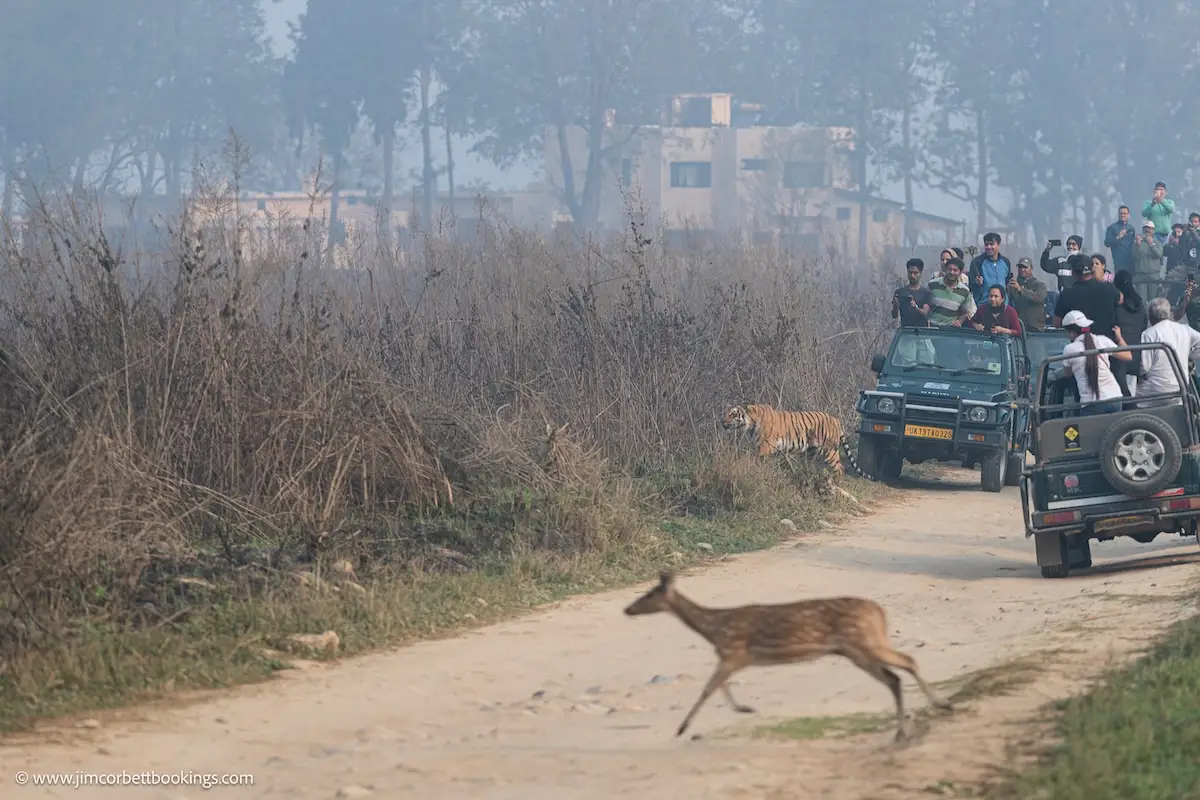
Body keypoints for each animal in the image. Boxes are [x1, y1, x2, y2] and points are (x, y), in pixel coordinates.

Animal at [721, 403, 875, 481]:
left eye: (733, 414)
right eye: (724, 412)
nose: (722, 421)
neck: (750, 423)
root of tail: (836, 419)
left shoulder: (763, 449)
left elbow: (756, 461)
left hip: (829, 452)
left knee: (840, 468)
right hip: (811, 451)